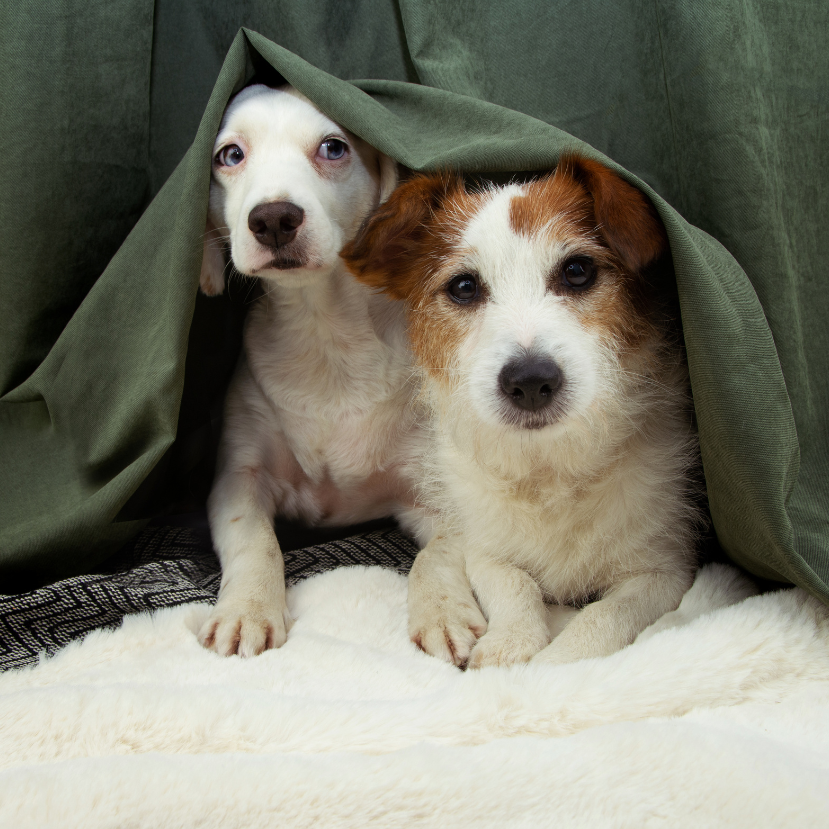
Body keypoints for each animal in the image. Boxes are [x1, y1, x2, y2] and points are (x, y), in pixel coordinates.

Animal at [197, 84, 430, 652]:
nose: (274, 218)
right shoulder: (239, 478)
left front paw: (445, 610)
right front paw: (248, 609)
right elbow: (256, 541)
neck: (325, 337)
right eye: (230, 155)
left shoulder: (430, 488)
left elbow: (446, 554)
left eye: (333, 147)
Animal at [342, 155, 700, 668]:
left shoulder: (664, 570)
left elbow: (606, 614)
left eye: (577, 271)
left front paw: (556, 664)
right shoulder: (485, 548)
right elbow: (514, 583)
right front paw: (511, 643)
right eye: (464, 286)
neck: (548, 468)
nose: (530, 381)